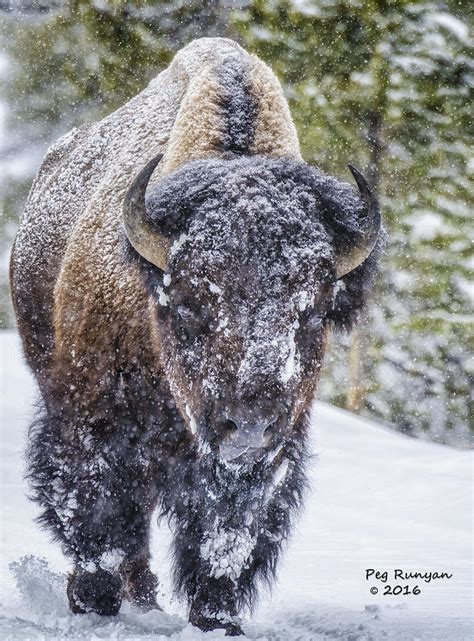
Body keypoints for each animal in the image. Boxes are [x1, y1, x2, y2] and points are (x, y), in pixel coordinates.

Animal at [10, 37, 382, 632]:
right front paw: (92, 603)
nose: (248, 425)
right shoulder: (91, 425)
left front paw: (217, 620)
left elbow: (222, 543)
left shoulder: (264, 463)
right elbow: (97, 519)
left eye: (316, 310)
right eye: (190, 299)